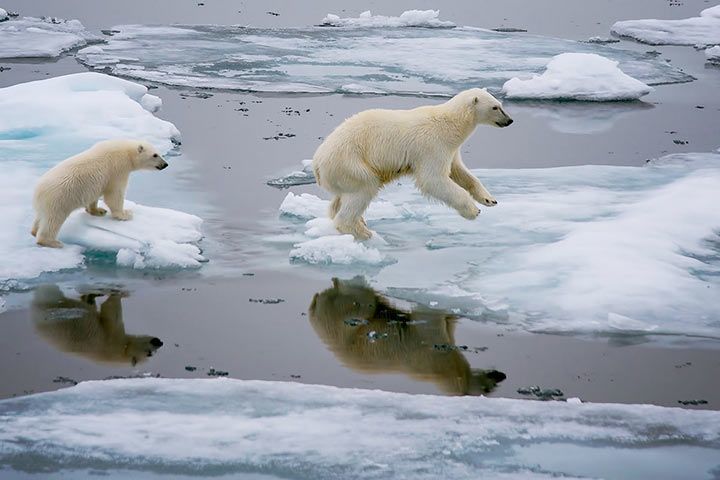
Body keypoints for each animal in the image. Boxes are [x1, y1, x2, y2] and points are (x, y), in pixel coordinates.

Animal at [30, 139, 169, 248]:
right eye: (155, 155)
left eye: (158, 153)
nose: (165, 164)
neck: (126, 151)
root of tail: (37, 191)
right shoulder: (118, 169)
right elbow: (114, 194)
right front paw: (125, 214)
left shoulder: (97, 182)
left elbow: (95, 196)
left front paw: (98, 211)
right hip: (58, 199)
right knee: (53, 220)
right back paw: (52, 242)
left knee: (40, 217)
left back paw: (34, 231)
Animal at [314, 88, 512, 240]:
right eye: (495, 107)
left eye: (500, 104)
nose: (509, 120)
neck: (450, 124)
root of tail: (317, 163)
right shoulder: (432, 145)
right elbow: (433, 179)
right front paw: (473, 210)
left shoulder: (451, 149)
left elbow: (459, 172)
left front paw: (489, 199)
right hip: (351, 163)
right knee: (364, 188)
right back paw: (363, 232)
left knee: (340, 199)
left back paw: (359, 222)